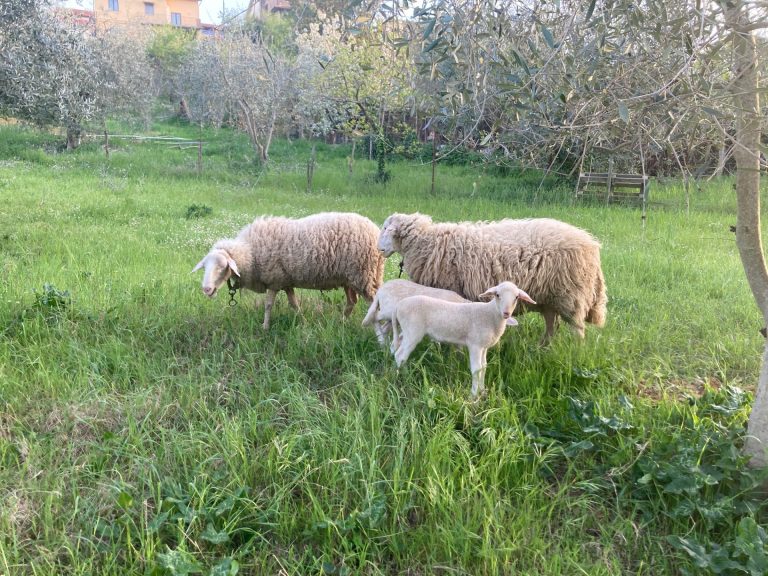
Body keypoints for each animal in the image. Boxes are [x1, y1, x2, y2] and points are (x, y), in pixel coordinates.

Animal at [192, 212, 384, 328]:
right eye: (205, 267)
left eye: (222, 266)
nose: (206, 289)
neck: (250, 252)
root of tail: (376, 230)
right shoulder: (286, 281)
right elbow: (294, 304)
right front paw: (303, 322)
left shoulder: (274, 280)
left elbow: (268, 305)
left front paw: (265, 327)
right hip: (350, 279)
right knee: (352, 302)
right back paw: (342, 323)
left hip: (364, 275)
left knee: (374, 303)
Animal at [378, 214, 608, 344]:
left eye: (386, 229)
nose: (379, 250)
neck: (427, 241)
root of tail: (591, 245)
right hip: (550, 298)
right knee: (552, 325)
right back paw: (543, 347)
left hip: (571, 295)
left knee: (578, 329)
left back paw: (575, 351)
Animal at [390, 282, 536, 398]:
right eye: (497, 295)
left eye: (516, 297)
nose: (507, 313)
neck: (491, 314)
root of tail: (398, 305)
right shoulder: (475, 345)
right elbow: (476, 369)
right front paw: (474, 396)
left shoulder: (484, 346)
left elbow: (484, 367)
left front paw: (482, 391)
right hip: (413, 331)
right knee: (400, 355)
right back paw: (402, 377)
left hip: (406, 330)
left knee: (397, 347)